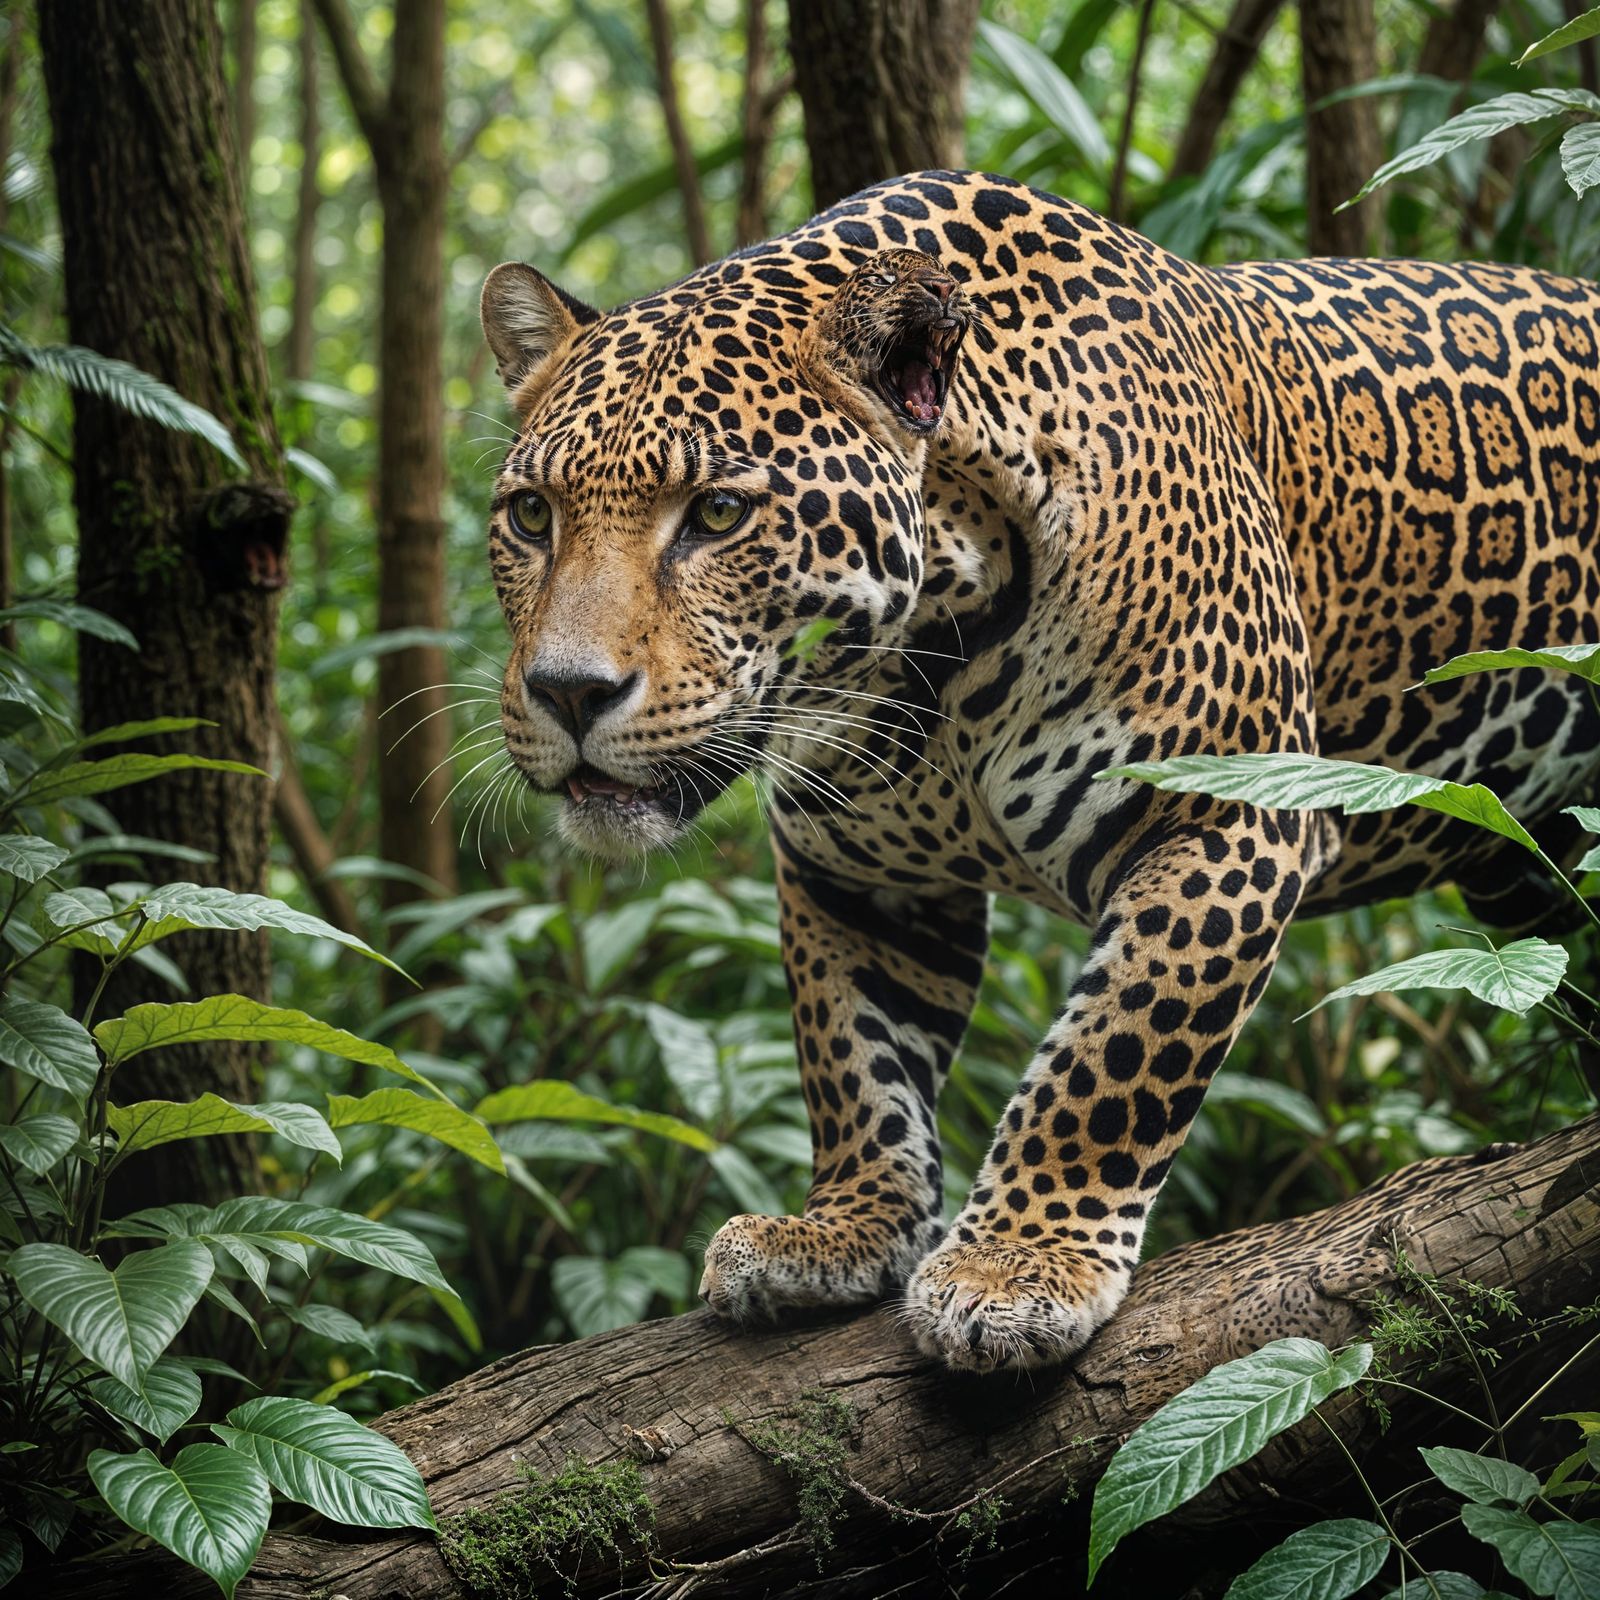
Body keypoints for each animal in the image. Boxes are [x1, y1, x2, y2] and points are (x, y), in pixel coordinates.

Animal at [479, 170, 1600, 1373]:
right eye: (532, 515)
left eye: (719, 513)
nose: (568, 692)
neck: (928, 646)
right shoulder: (856, 871)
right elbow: (854, 1060)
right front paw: (840, 1230)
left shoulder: (1230, 816)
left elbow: (1116, 1054)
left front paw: (1015, 1265)